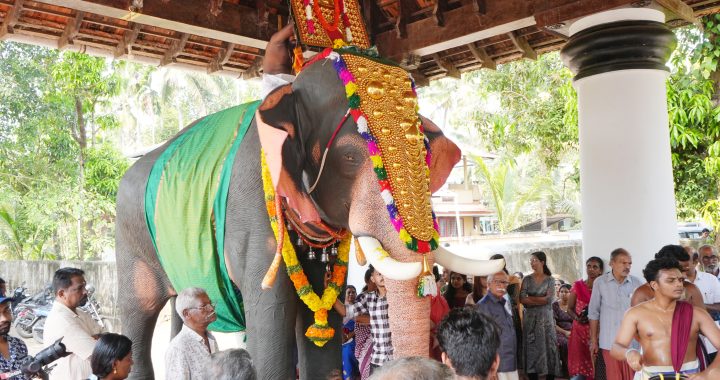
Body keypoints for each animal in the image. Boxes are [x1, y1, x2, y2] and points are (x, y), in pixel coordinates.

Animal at [116, 47, 500, 380]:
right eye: (349, 157)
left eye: (425, 156)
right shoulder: (252, 212)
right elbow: (271, 310)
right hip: (131, 237)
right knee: (139, 316)